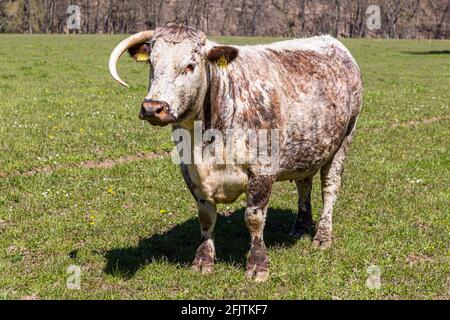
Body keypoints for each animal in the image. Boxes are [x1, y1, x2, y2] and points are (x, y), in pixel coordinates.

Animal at [109, 25, 362, 282]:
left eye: (190, 65)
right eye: (152, 62)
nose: (152, 108)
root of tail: (332, 43)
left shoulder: (262, 170)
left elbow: (254, 218)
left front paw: (258, 265)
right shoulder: (190, 172)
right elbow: (206, 217)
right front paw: (203, 260)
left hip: (344, 139)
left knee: (329, 188)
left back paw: (322, 236)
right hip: (307, 147)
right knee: (304, 185)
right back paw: (300, 226)